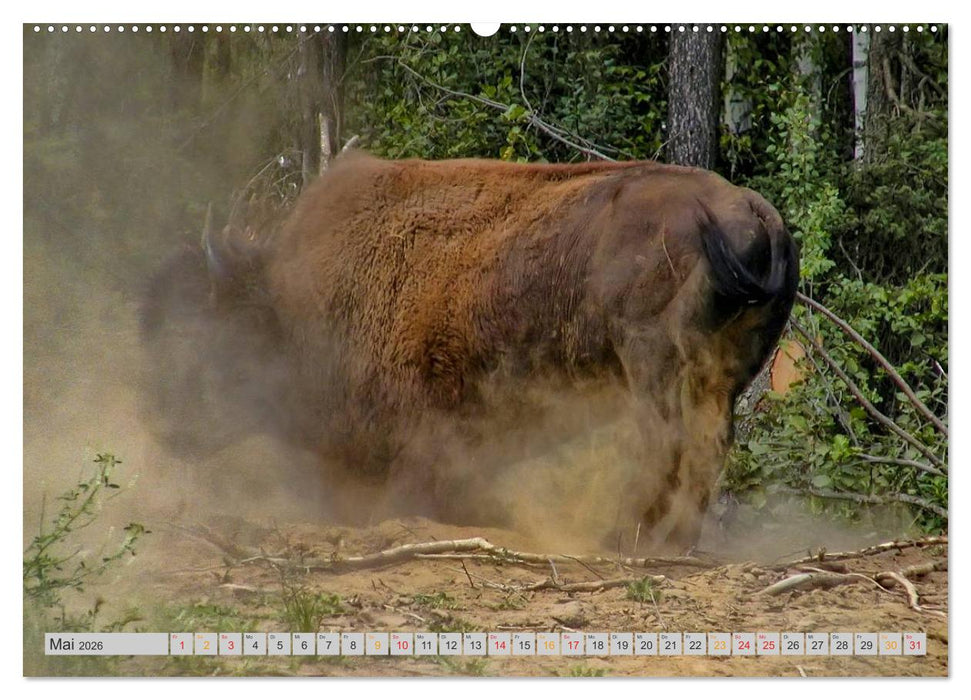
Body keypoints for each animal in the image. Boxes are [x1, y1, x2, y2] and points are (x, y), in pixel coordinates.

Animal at [141, 153, 798, 552]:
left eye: (203, 331)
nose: (163, 426)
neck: (290, 302)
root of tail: (754, 214)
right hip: (724, 376)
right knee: (709, 445)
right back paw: (673, 539)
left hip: (649, 362)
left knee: (665, 441)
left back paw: (620, 536)